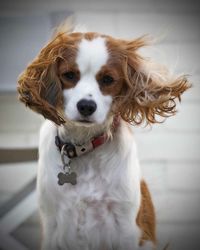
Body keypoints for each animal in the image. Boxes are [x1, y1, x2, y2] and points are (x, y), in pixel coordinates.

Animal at [16, 22, 189, 250]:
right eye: (69, 75)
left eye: (108, 79)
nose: (86, 106)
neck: (83, 145)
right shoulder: (52, 224)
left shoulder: (126, 226)